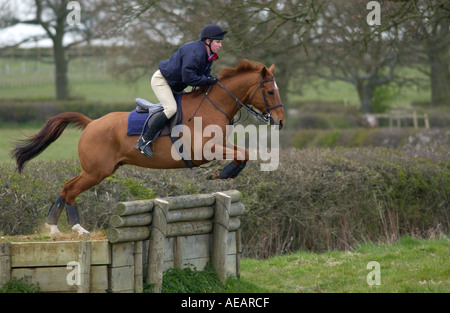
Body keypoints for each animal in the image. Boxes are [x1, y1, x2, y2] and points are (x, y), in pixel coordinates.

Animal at [11, 58, 284, 235]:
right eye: (270, 92)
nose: (280, 121)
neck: (212, 105)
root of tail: (91, 123)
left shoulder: (220, 144)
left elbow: (244, 153)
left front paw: (222, 173)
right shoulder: (202, 150)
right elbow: (244, 154)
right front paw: (220, 173)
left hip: (98, 170)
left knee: (66, 187)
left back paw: (54, 227)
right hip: (97, 171)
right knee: (70, 190)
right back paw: (77, 229)